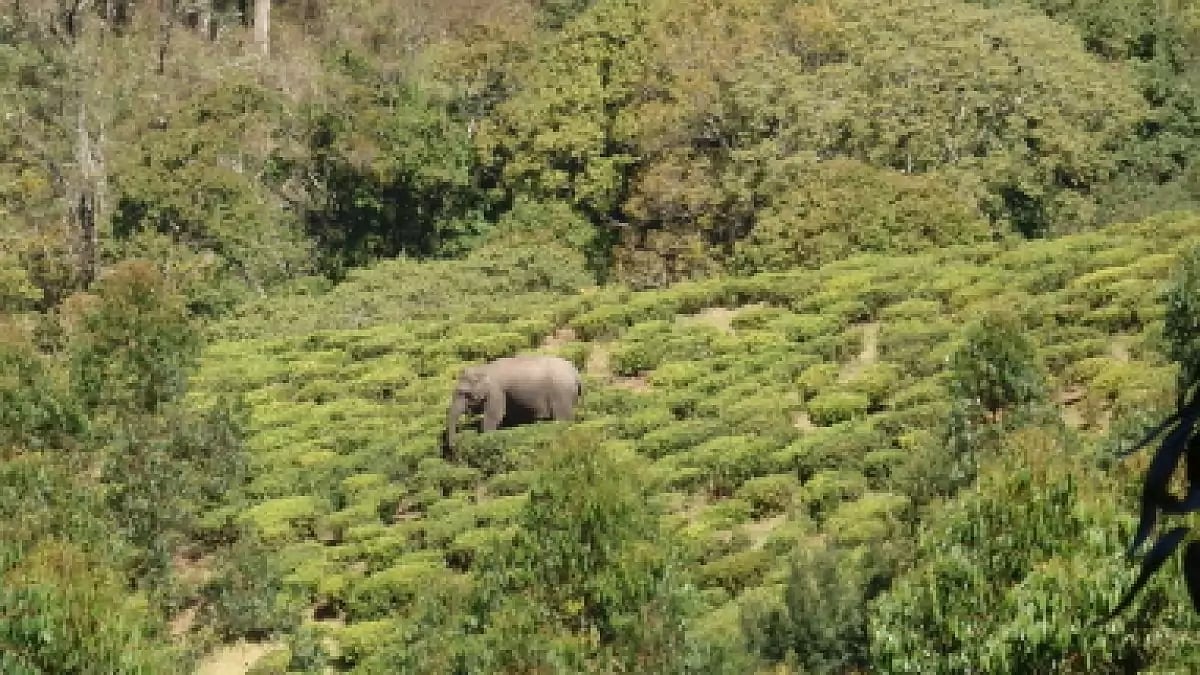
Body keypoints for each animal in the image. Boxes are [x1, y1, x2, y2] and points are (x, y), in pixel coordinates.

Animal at [443, 354, 582, 457]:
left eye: (463, 393)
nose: (453, 447)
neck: (484, 368)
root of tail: (576, 373)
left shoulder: (496, 391)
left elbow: (494, 416)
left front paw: (485, 438)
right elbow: (508, 417)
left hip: (561, 392)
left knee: (562, 419)